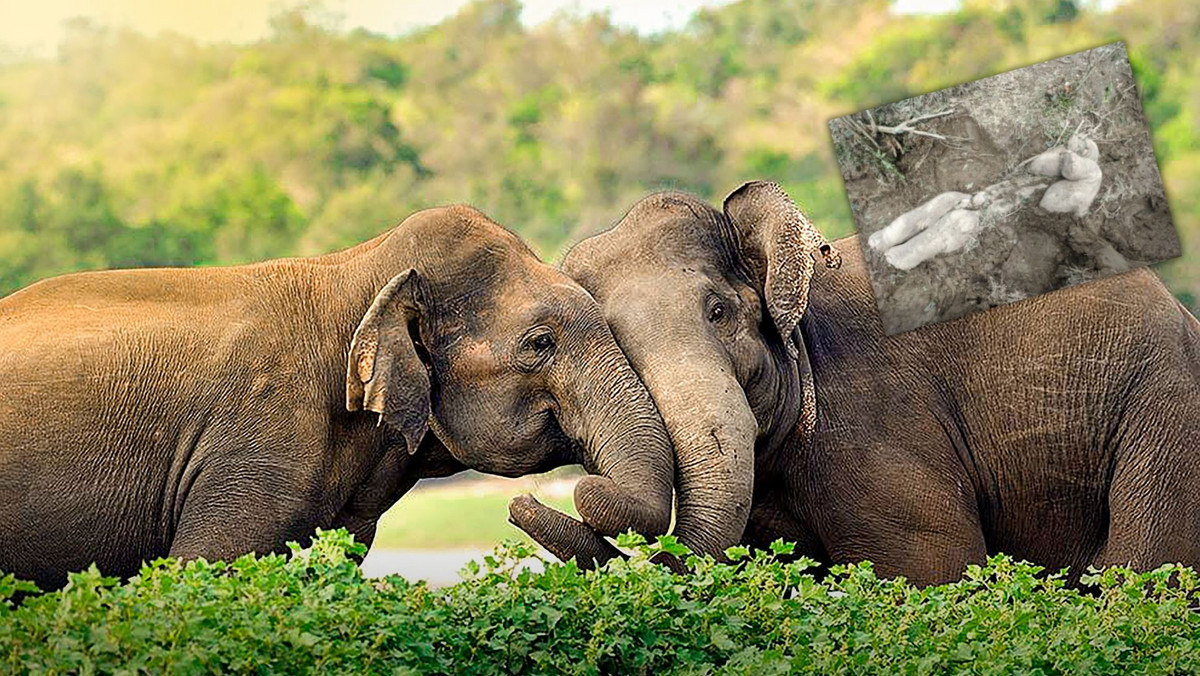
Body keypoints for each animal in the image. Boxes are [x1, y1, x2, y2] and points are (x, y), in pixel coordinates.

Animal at [508, 182, 1200, 590]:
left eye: (719, 312)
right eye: (616, 344)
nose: (523, 503)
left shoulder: (881, 430)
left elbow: (929, 569)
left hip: (1166, 409)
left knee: (1146, 569)